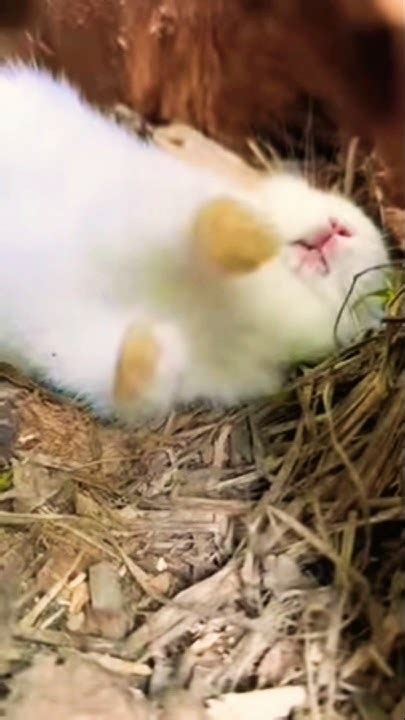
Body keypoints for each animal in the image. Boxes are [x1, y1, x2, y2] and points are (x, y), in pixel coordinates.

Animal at [0, 64, 389, 421]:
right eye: (311, 190)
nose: (337, 230)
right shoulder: (154, 211)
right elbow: (205, 223)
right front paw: (259, 237)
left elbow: (133, 384)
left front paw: (146, 342)